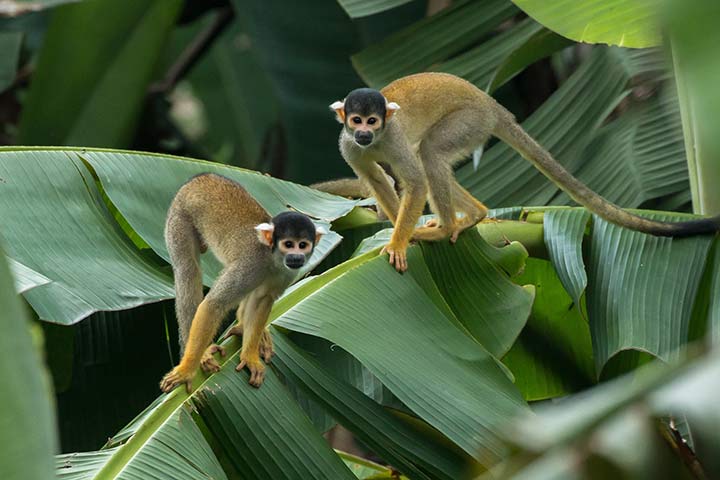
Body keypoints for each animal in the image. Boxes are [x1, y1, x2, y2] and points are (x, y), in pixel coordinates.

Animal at [161, 174, 326, 392]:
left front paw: (250, 356)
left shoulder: (287, 273)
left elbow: (262, 299)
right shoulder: (251, 265)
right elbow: (214, 304)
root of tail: (201, 177)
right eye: (288, 244)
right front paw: (187, 370)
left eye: (303, 245)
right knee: (187, 270)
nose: (296, 257)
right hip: (179, 217)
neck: (271, 258)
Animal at [332, 72, 720, 272]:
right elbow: (378, 179)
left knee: (428, 154)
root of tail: (493, 105)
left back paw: (446, 227)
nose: (364, 132)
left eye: (373, 120)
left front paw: (399, 240)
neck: (376, 140)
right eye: (357, 121)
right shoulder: (348, 145)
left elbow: (413, 181)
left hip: (471, 121)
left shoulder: (393, 137)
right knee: (426, 156)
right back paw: (474, 215)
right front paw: (400, 232)